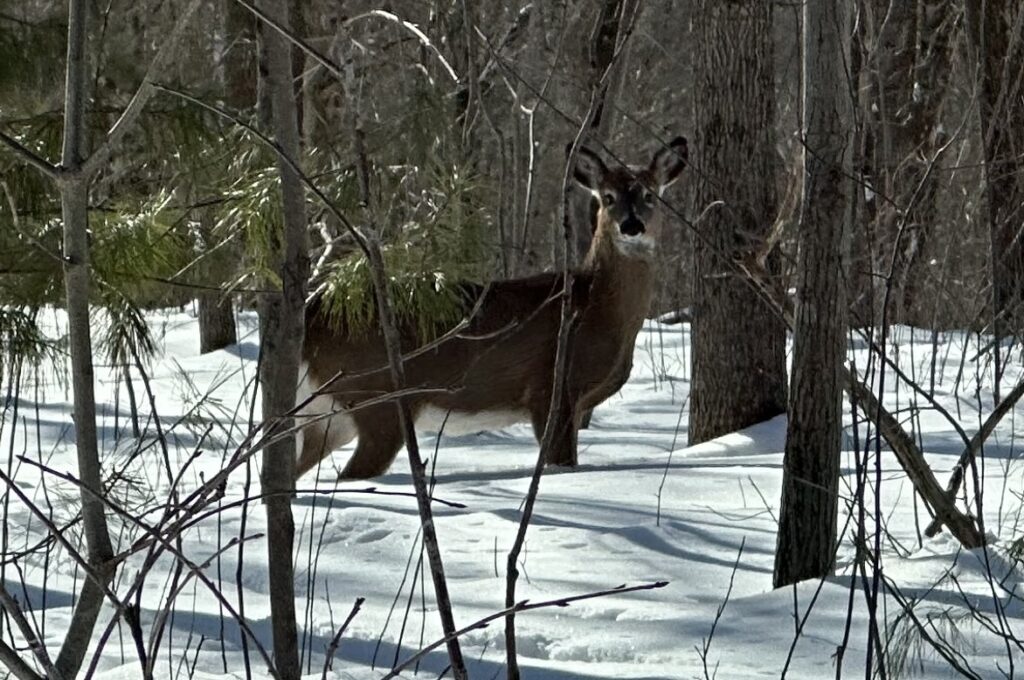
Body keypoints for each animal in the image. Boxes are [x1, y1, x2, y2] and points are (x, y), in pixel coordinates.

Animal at [295, 136, 688, 479]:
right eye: (607, 197)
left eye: (649, 194)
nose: (632, 226)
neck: (594, 307)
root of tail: (313, 317)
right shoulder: (551, 389)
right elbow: (560, 462)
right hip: (378, 399)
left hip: (328, 416)